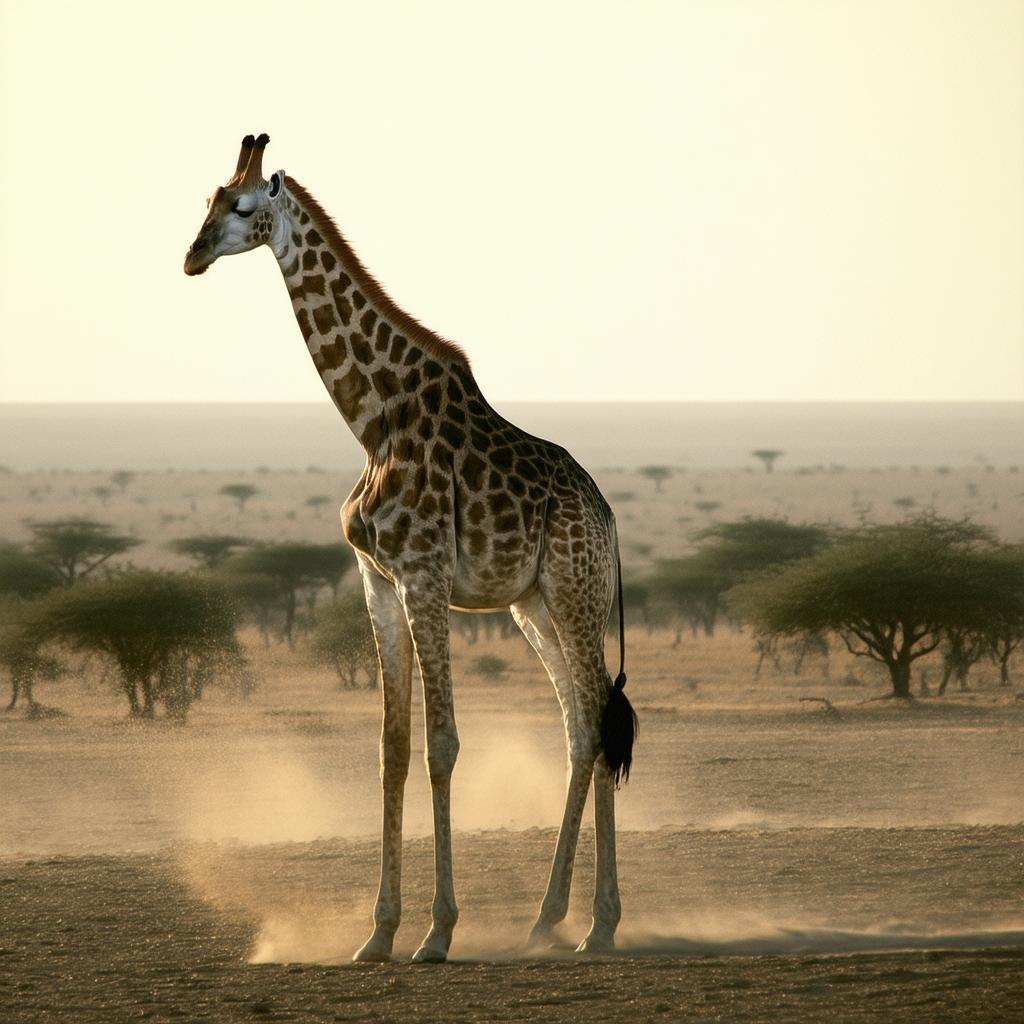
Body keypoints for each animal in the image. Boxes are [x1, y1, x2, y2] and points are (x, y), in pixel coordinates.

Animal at [184, 134, 637, 964]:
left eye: (242, 205)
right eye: (206, 199)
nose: (192, 256)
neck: (373, 420)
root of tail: (608, 514)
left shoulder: (423, 576)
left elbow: (442, 743)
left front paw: (437, 931)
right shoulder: (379, 581)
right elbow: (392, 748)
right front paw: (378, 933)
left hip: (576, 591)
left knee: (595, 717)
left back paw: (600, 927)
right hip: (532, 607)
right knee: (582, 725)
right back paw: (548, 917)